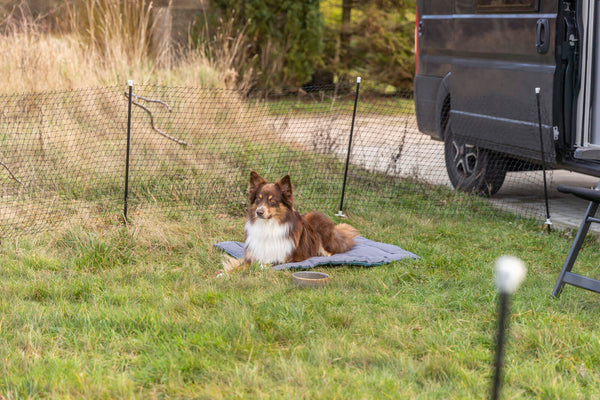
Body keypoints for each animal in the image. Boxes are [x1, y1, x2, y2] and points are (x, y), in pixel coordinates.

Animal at [221, 170, 358, 274]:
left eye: (272, 200)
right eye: (258, 199)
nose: (259, 212)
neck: (268, 225)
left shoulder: (284, 258)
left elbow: (261, 265)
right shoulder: (252, 256)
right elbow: (239, 267)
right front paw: (224, 274)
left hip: (317, 222)